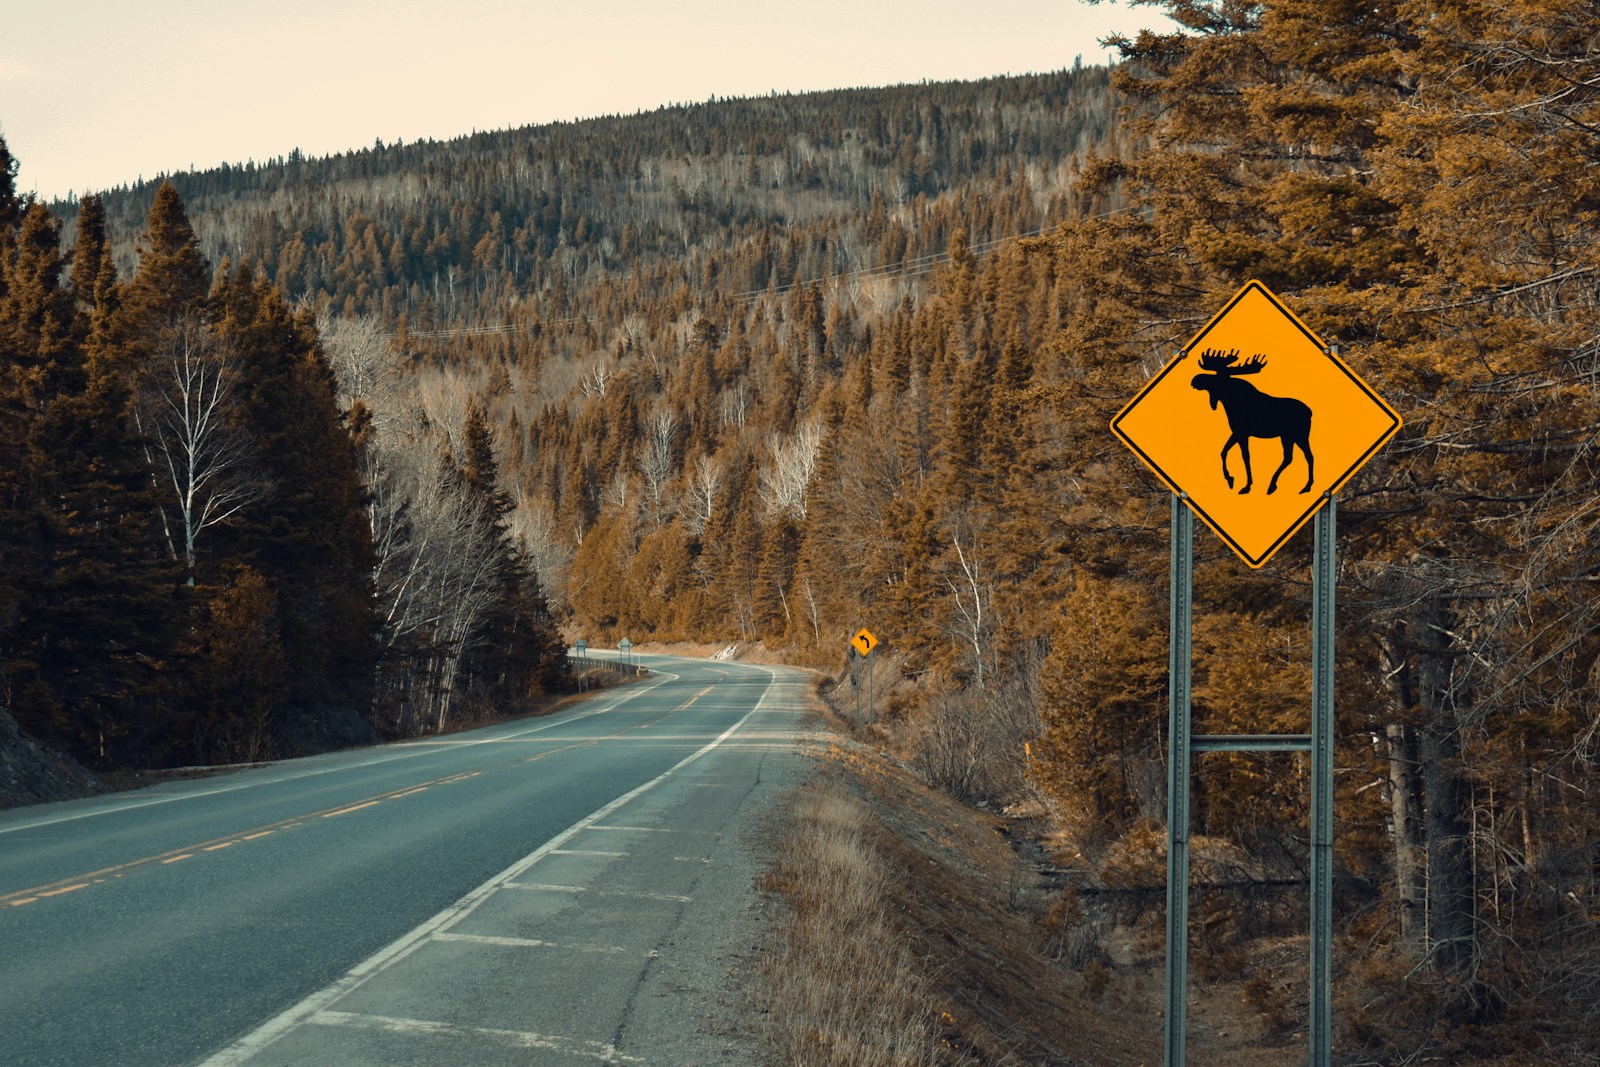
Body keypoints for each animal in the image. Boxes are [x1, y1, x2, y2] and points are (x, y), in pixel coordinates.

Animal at [1190, 348, 1315, 495]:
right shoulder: (1236, 432)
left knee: (1306, 456)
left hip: (1299, 435)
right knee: (1292, 457)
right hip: (1288, 436)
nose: (1196, 379)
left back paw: (1302, 486)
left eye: (1217, 377)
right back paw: (1277, 485)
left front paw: (1246, 485)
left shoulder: (1242, 433)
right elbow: (1223, 451)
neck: (1230, 402)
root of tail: (1309, 412)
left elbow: (1245, 456)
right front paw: (1230, 479)